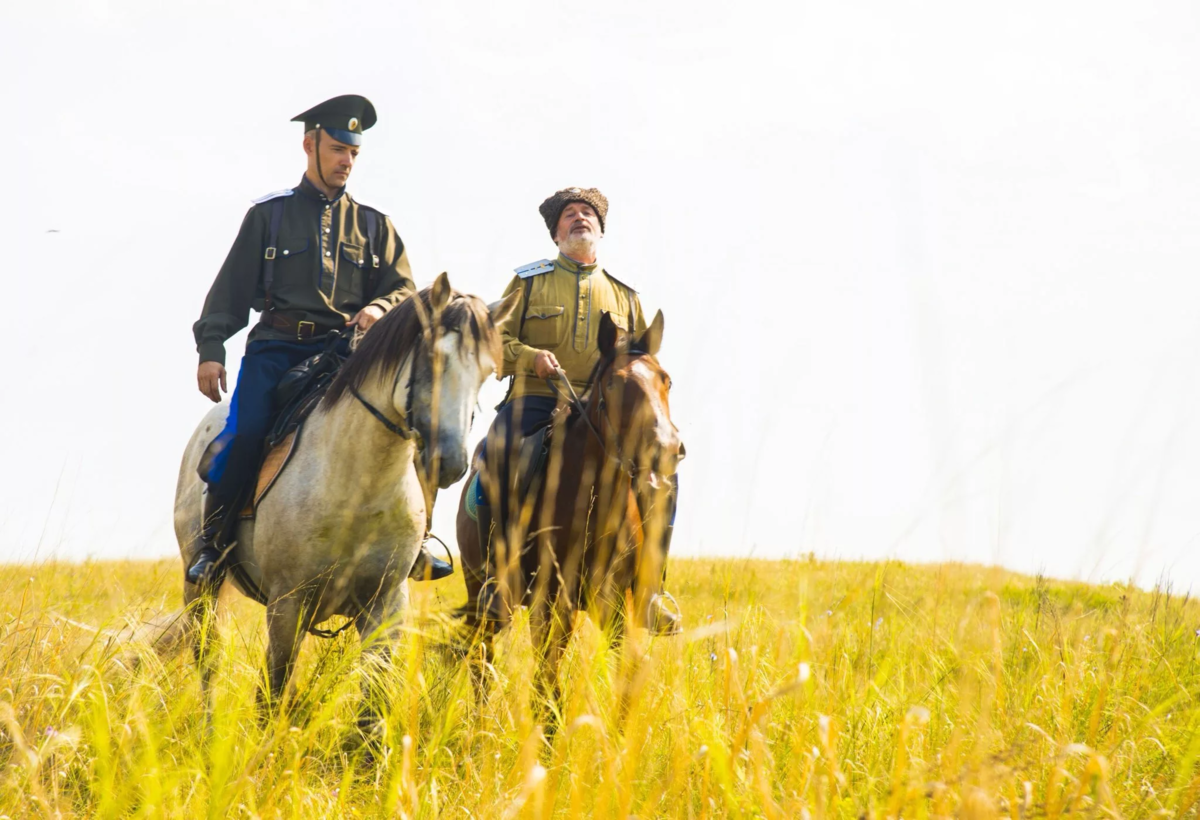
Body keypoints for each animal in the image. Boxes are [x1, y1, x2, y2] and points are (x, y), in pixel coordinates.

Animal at [170, 276, 520, 725]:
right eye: (433, 357)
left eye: (487, 372)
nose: (451, 462)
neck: (359, 487)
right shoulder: (286, 604)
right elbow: (272, 695)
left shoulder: (385, 606)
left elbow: (371, 706)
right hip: (201, 591)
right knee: (207, 660)